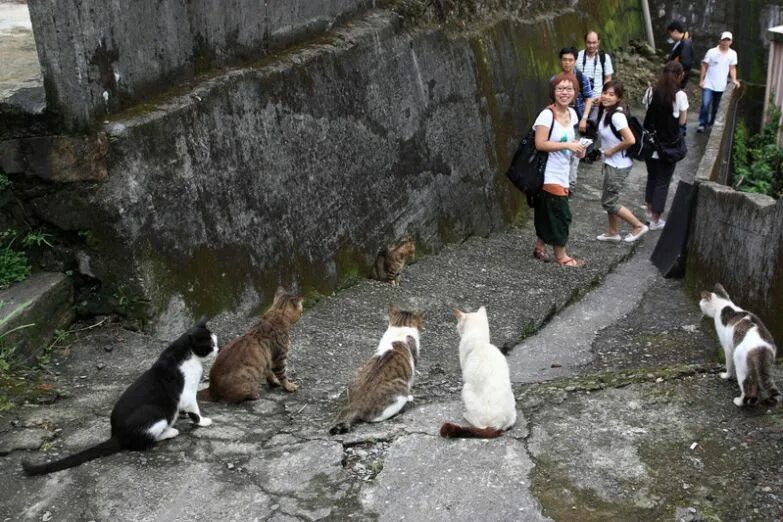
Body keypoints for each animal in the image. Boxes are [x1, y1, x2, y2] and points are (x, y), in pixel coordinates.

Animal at [23, 316, 219, 476]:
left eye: (216, 342)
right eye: (210, 346)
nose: (219, 349)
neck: (185, 354)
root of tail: (116, 435)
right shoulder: (187, 394)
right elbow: (194, 410)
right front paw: (202, 421)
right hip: (155, 412)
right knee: (141, 442)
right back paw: (169, 432)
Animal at [438, 302, 516, 436]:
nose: (456, 328)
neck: (481, 341)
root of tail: (498, 425)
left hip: (466, 389)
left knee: (480, 425)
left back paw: (466, 416)